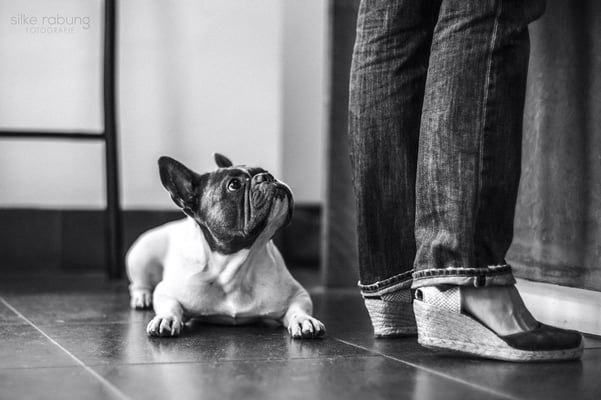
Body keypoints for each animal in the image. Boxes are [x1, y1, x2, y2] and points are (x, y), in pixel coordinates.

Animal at [126, 153, 325, 339]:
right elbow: (170, 305)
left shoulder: (298, 294)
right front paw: (165, 318)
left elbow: (299, 308)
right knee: (138, 283)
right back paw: (142, 297)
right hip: (142, 255)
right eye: (234, 185)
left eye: (265, 171)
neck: (234, 270)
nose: (267, 177)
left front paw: (304, 320)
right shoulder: (167, 291)